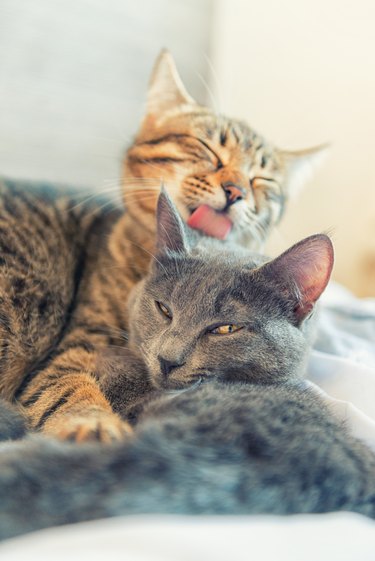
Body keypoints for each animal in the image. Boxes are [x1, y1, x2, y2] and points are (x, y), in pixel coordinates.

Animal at [0, 52, 326, 440]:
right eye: (207, 149)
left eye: (263, 181)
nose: (236, 190)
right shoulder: (76, 344)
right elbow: (63, 385)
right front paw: (92, 422)